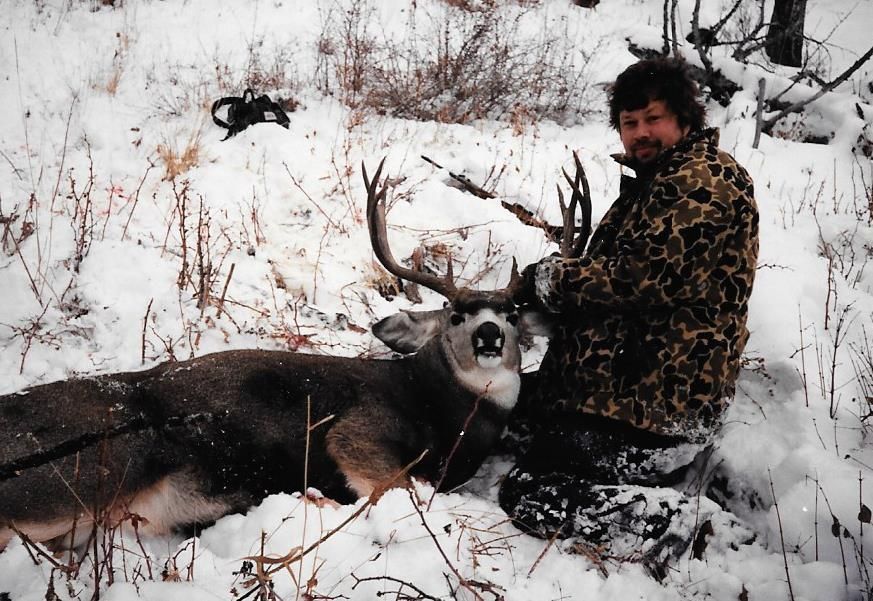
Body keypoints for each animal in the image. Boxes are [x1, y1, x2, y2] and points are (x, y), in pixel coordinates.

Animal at [0, 158, 586, 552]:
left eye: (513, 316)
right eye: (457, 315)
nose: (489, 335)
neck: (440, 410)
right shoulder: (357, 431)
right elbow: (397, 488)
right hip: (88, 474)